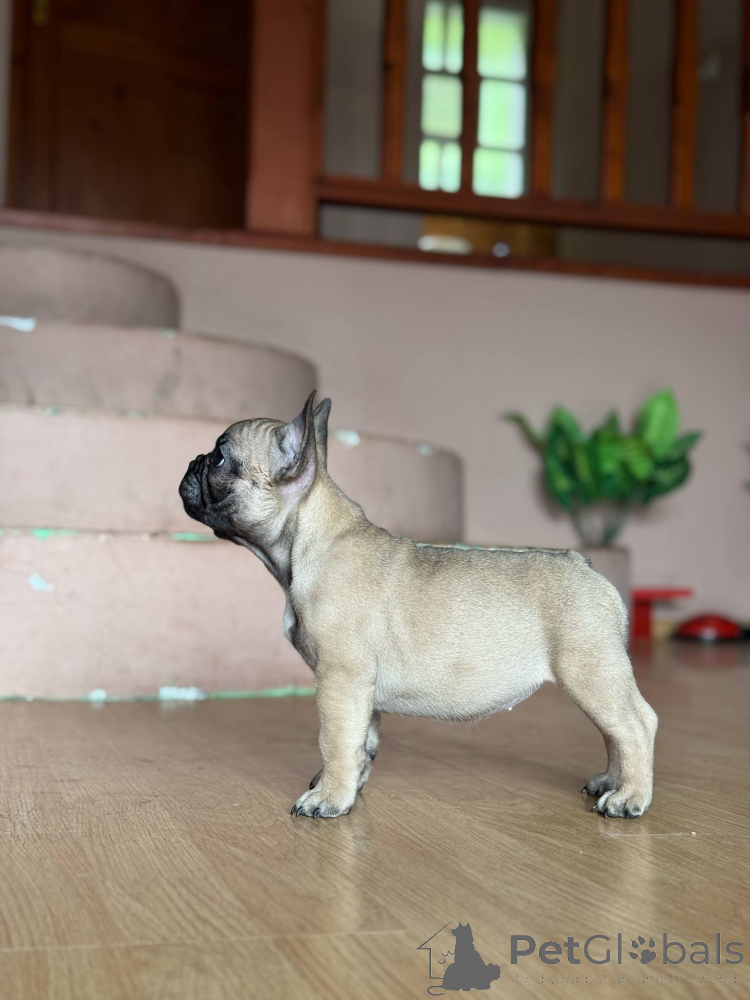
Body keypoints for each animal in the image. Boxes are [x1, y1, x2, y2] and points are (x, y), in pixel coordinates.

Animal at [179, 393, 657, 820]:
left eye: (220, 458)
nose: (193, 461)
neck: (310, 540)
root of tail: (584, 564)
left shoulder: (340, 678)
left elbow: (335, 740)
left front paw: (329, 797)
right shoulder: (360, 690)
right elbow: (361, 742)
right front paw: (349, 786)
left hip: (589, 671)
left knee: (635, 726)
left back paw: (628, 797)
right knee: (617, 731)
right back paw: (611, 781)